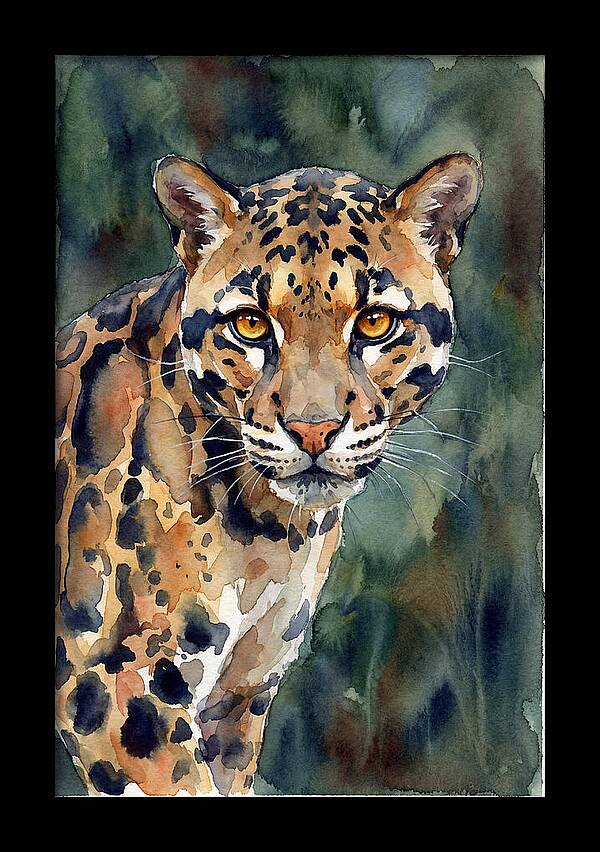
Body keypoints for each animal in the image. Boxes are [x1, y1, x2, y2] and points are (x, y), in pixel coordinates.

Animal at [55, 151, 482, 796]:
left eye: (376, 323)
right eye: (251, 325)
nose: (313, 429)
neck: (269, 532)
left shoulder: (238, 698)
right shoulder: (114, 683)